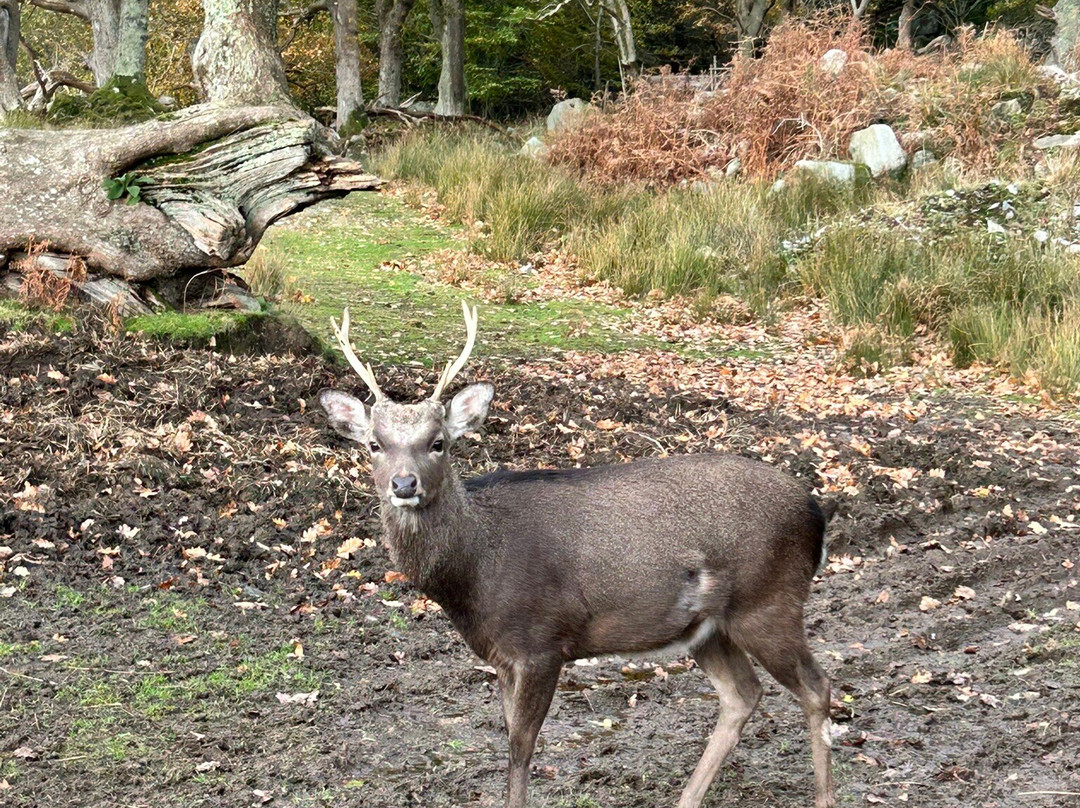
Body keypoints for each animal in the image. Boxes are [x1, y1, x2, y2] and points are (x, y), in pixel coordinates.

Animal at [319, 301, 835, 808]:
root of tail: (815, 511)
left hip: (768, 601)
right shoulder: (503, 656)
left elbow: (520, 748)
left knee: (816, 686)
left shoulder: (542, 642)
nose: (404, 484)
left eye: (438, 443)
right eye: (374, 444)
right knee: (742, 695)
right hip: (708, 627)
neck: (476, 574)